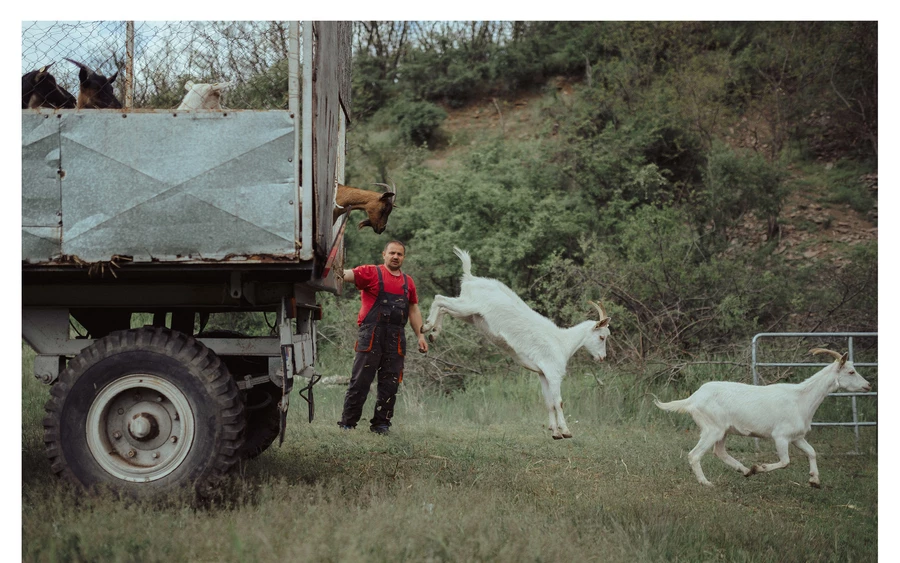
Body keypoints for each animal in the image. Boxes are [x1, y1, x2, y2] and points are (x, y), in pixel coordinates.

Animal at [422, 247, 612, 440]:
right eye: (602, 337)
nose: (602, 357)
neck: (563, 342)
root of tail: (470, 278)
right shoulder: (554, 373)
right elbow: (559, 402)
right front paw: (566, 432)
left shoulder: (543, 374)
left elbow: (549, 403)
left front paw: (554, 432)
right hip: (468, 306)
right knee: (439, 299)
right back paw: (426, 326)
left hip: (468, 314)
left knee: (444, 307)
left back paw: (433, 333)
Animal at [652, 348, 872, 490]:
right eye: (851, 371)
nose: (868, 385)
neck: (801, 398)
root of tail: (692, 398)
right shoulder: (781, 436)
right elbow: (785, 461)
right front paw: (759, 467)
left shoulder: (797, 437)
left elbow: (812, 452)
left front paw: (815, 481)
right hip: (712, 428)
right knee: (694, 455)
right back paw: (706, 482)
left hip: (722, 430)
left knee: (719, 451)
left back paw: (743, 470)